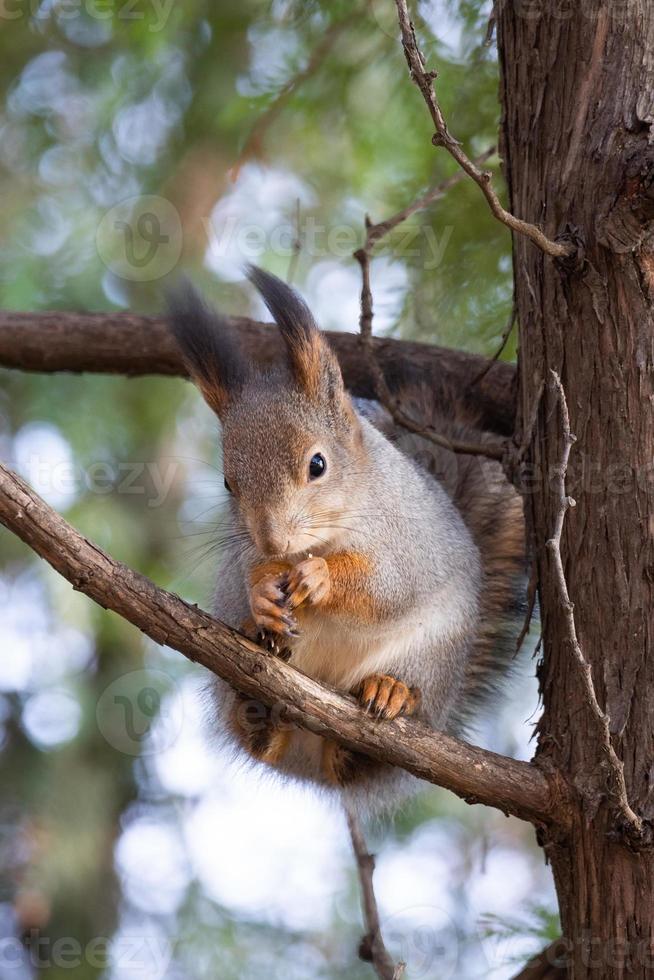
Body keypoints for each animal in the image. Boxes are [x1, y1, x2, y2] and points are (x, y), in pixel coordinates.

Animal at [170, 264, 528, 816]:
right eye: (229, 482)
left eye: (318, 464)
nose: (272, 542)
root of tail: (310, 761)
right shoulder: (242, 554)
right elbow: (250, 576)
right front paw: (263, 591)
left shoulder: (409, 542)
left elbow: (386, 589)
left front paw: (320, 578)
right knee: (261, 737)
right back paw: (259, 705)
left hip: (433, 654)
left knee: (373, 746)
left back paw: (390, 694)